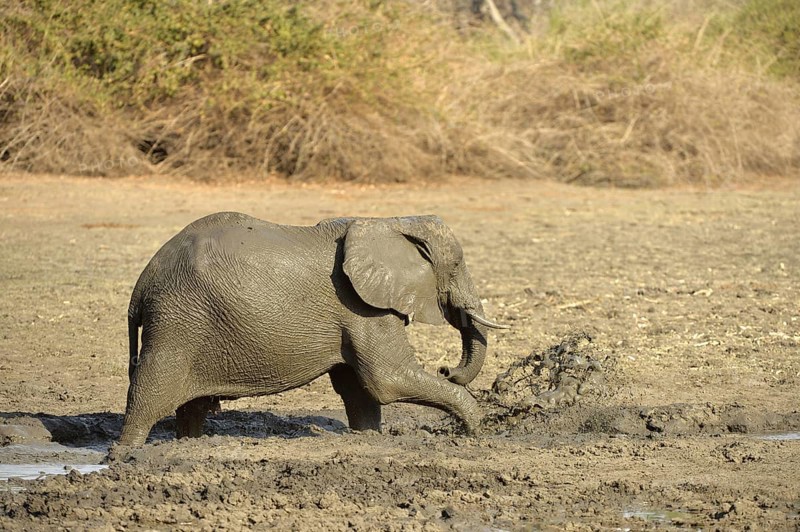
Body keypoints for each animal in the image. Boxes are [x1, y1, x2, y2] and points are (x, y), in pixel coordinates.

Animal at [118, 212, 508, 445]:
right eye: (455, 266)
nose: (447, 370)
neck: (388, 222)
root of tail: (142, 284)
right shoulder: (361, 306)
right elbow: (387, 380)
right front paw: (478, 430)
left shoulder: (355, 312)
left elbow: (359, 389)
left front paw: (368, 438)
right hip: (177, 320)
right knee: (150, 392)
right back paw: (127, 456)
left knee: (190, 407)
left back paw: (189, 444)